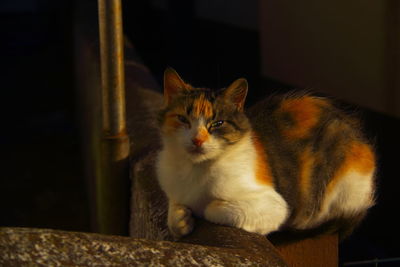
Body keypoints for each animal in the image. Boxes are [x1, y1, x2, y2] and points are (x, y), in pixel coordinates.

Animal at [155, 68, 376, 240]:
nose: (197, 140)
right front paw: (181, 219)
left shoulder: (275, 206)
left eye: (217, 124)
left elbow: (216, 208)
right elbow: (173, 210)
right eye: (183, 119)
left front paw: (202, 209)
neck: (195, 170)